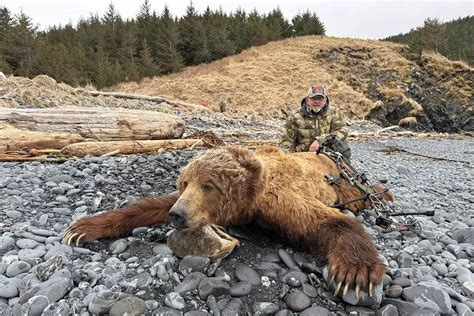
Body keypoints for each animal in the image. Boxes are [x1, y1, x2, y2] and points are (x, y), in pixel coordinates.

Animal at [63, 146, 388, 298]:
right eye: (185, 183)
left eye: (209, 186)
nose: (178, 214)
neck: (248, 199)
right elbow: (150, 206)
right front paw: (81, 228)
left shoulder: (276, 199)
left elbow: (327, 221)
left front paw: (355, 270)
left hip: (344, 185)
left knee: (362, 196)